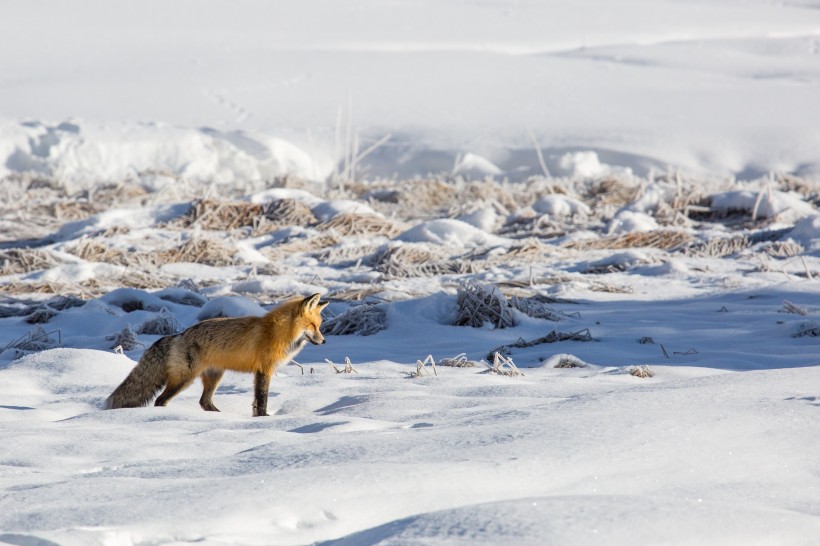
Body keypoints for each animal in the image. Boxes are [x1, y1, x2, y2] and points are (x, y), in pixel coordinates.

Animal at [105, 294, 330, 416]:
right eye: (313, 326)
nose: (324, 341)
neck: (277, 333)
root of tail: (179, 334)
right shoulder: (264, 370)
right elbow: (262, 399)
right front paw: (264, 419)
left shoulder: (260, 372)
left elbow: (256, 402)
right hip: (184, 379)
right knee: (161, 400)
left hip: (214, 377)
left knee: (204, 402)